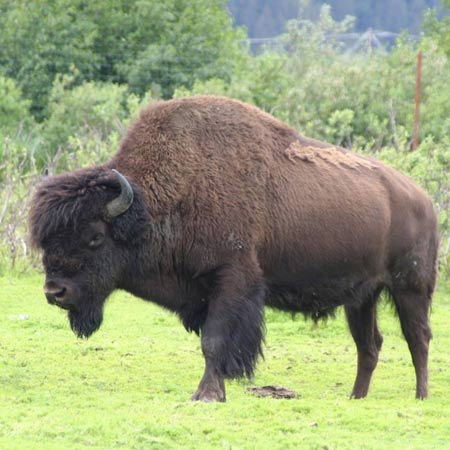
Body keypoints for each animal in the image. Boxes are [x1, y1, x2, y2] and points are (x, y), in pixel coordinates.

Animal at [29, 95, 440, 400]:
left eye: (95, 236)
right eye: (46, 240)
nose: (54, 292)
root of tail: (423, 200)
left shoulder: (232, 280)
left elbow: (215, 342)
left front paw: (207, 395)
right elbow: (213, 342)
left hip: (411, 288)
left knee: (417, 337)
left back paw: (421, 396)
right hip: (362, 298)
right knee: (369, 344)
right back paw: (356, 397)